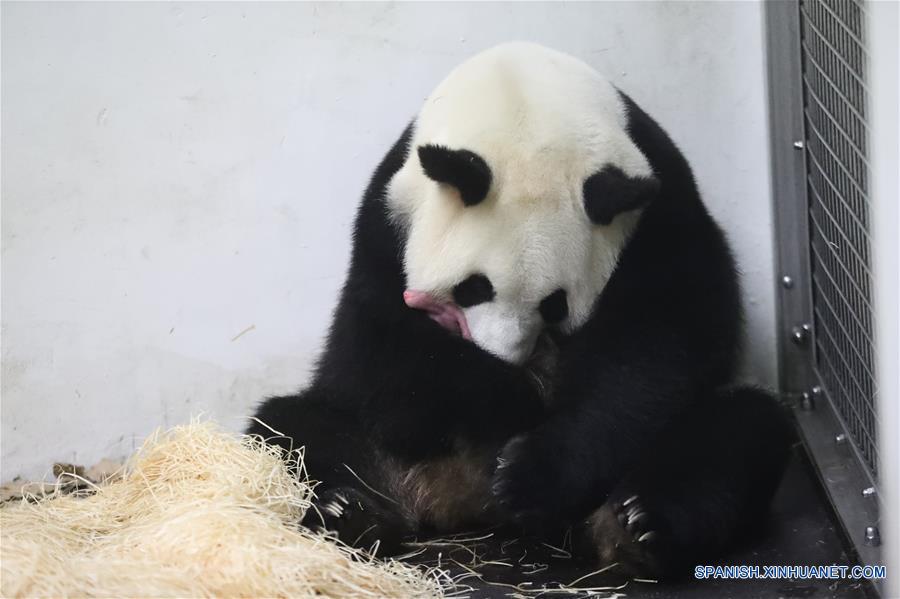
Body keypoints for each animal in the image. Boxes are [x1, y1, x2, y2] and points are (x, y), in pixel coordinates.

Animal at [250, 44, 792, 580]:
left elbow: (660, 341)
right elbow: (379, 354)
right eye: (472, 288)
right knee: (296, 428)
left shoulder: (659, 207)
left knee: (736, 429)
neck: (521, 93)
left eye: (556, 304)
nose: (508, 357)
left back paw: (636, 527)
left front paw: (529, 471)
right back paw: (353, 512)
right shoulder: (387, 222)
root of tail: (463, 504)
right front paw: (512, 401)